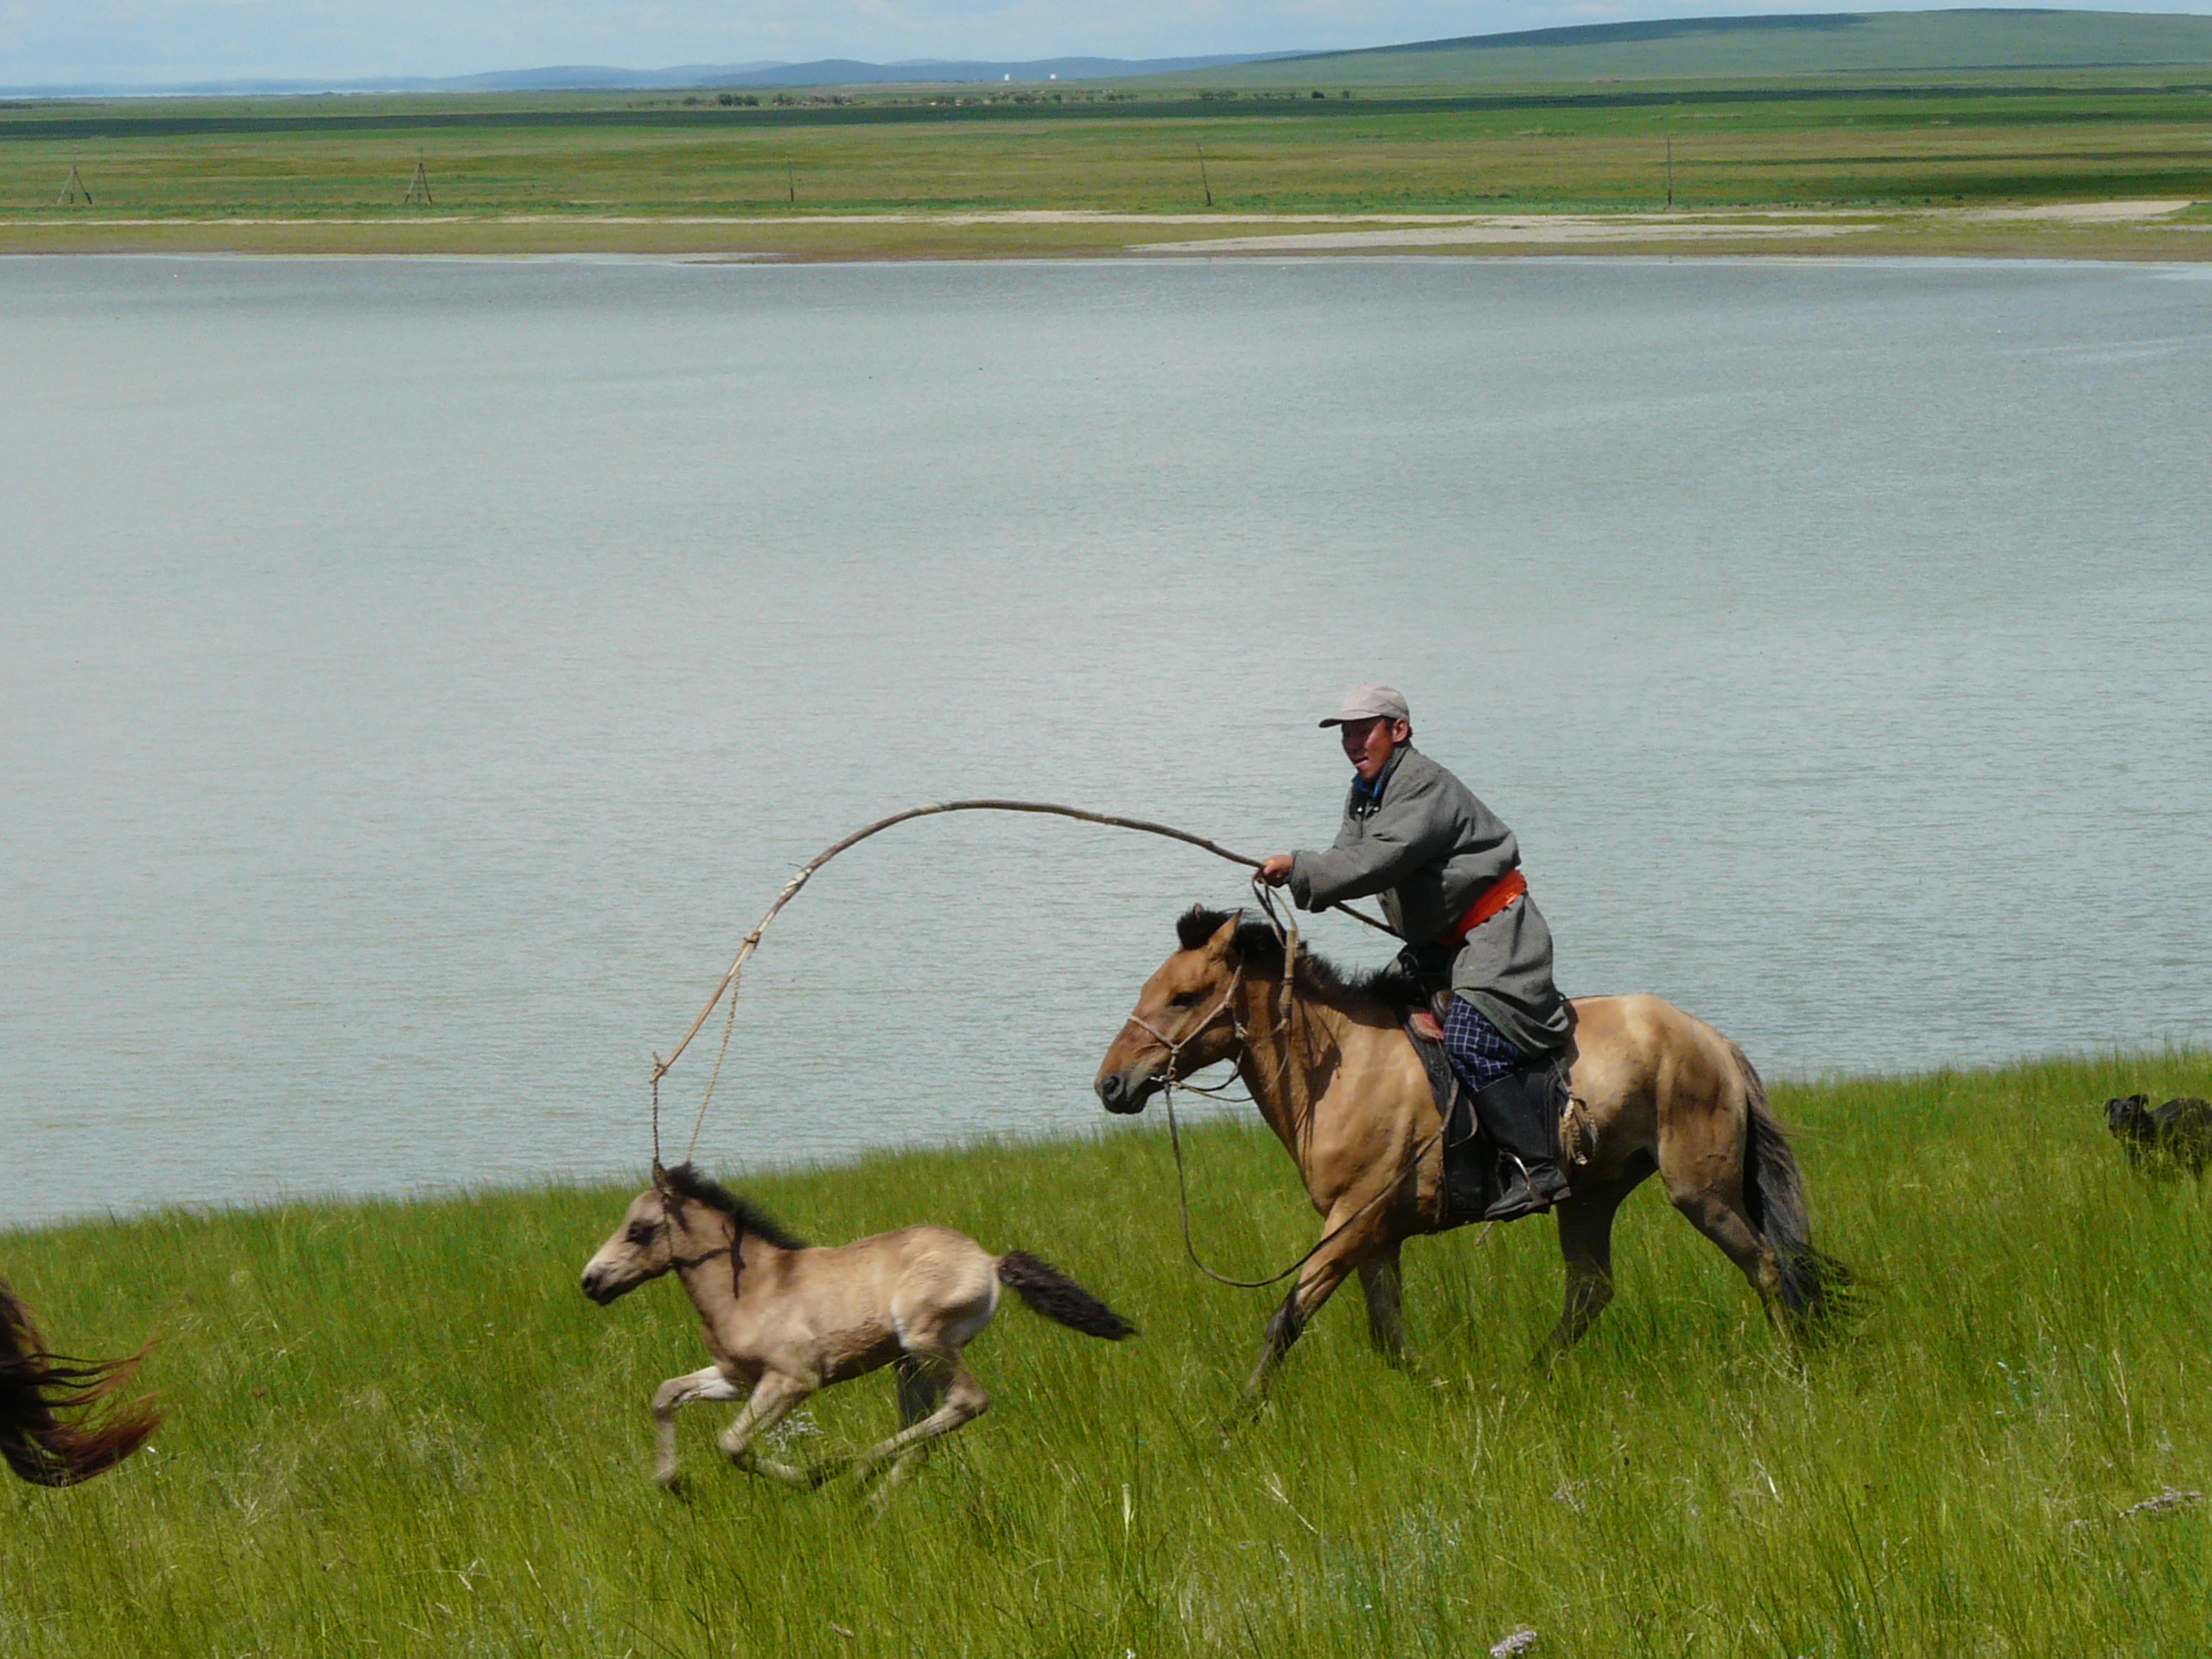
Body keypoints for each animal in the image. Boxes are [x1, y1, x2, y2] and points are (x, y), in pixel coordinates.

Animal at [581, 1162, 1136, 1493]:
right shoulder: (739, 1380)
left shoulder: (793, 1381)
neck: (753, 1287)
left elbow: (731, 1443)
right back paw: (879, 1496)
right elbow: (666, 1394)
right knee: (931, 1426)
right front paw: (672, 1483)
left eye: (639, 1230)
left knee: (967, 1402)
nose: (591, 1281)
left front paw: (814, 1474)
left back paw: (861, 1472)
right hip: (911, 1364)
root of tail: (989, 1260)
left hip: (925, 1339)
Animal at [1094, 907, 1848, 1405]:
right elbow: (1388, 1335)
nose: (1111, 1085)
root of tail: (1712, 1041)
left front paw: (1234, 1422)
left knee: (1767, 1265)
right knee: (1590, 1289)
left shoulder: (1350, 1227)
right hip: (1592, 1195)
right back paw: (1533, 1375)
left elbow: (1288, 1318)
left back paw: (1797, 1367)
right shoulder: (1375, 1240)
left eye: (1185, 996)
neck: (1343, 1065)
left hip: (1701, 1192)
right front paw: (1445, 1389)